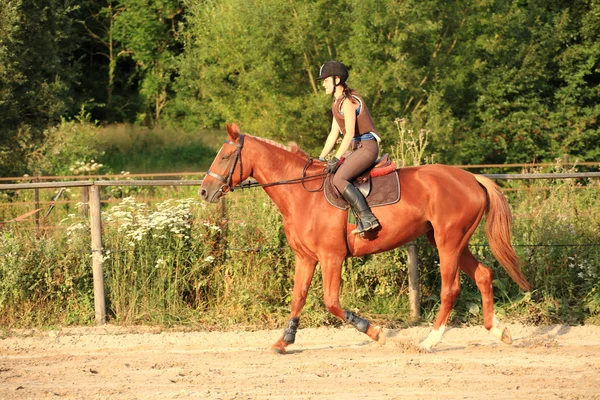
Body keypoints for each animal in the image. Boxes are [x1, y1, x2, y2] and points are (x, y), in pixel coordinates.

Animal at [200, 122, 528, 354]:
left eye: (225, 156)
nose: (204, 191)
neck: (301, 193)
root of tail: (472, 178)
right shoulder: (305, 258)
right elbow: (298, 297)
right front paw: (285, 340)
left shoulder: (331, 257)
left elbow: (331, 302)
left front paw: (375, 332)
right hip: (451, 241)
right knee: (484, 275)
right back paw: (498, 332)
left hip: (449, 241)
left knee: (451, 289)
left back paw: (429, 341)